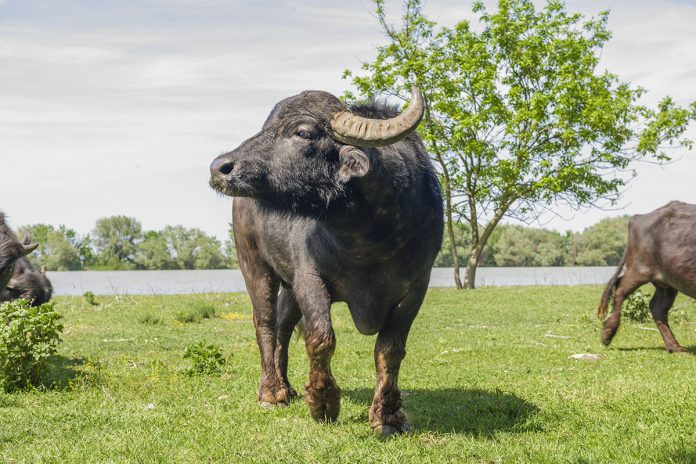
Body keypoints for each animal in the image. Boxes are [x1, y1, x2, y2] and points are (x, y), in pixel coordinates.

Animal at [600, 201, 696, 354]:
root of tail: (638, 218)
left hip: (668, 283)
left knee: (658, 307)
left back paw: (675, 346)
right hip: (640, 269)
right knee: (620, 287)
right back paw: (607, 333)